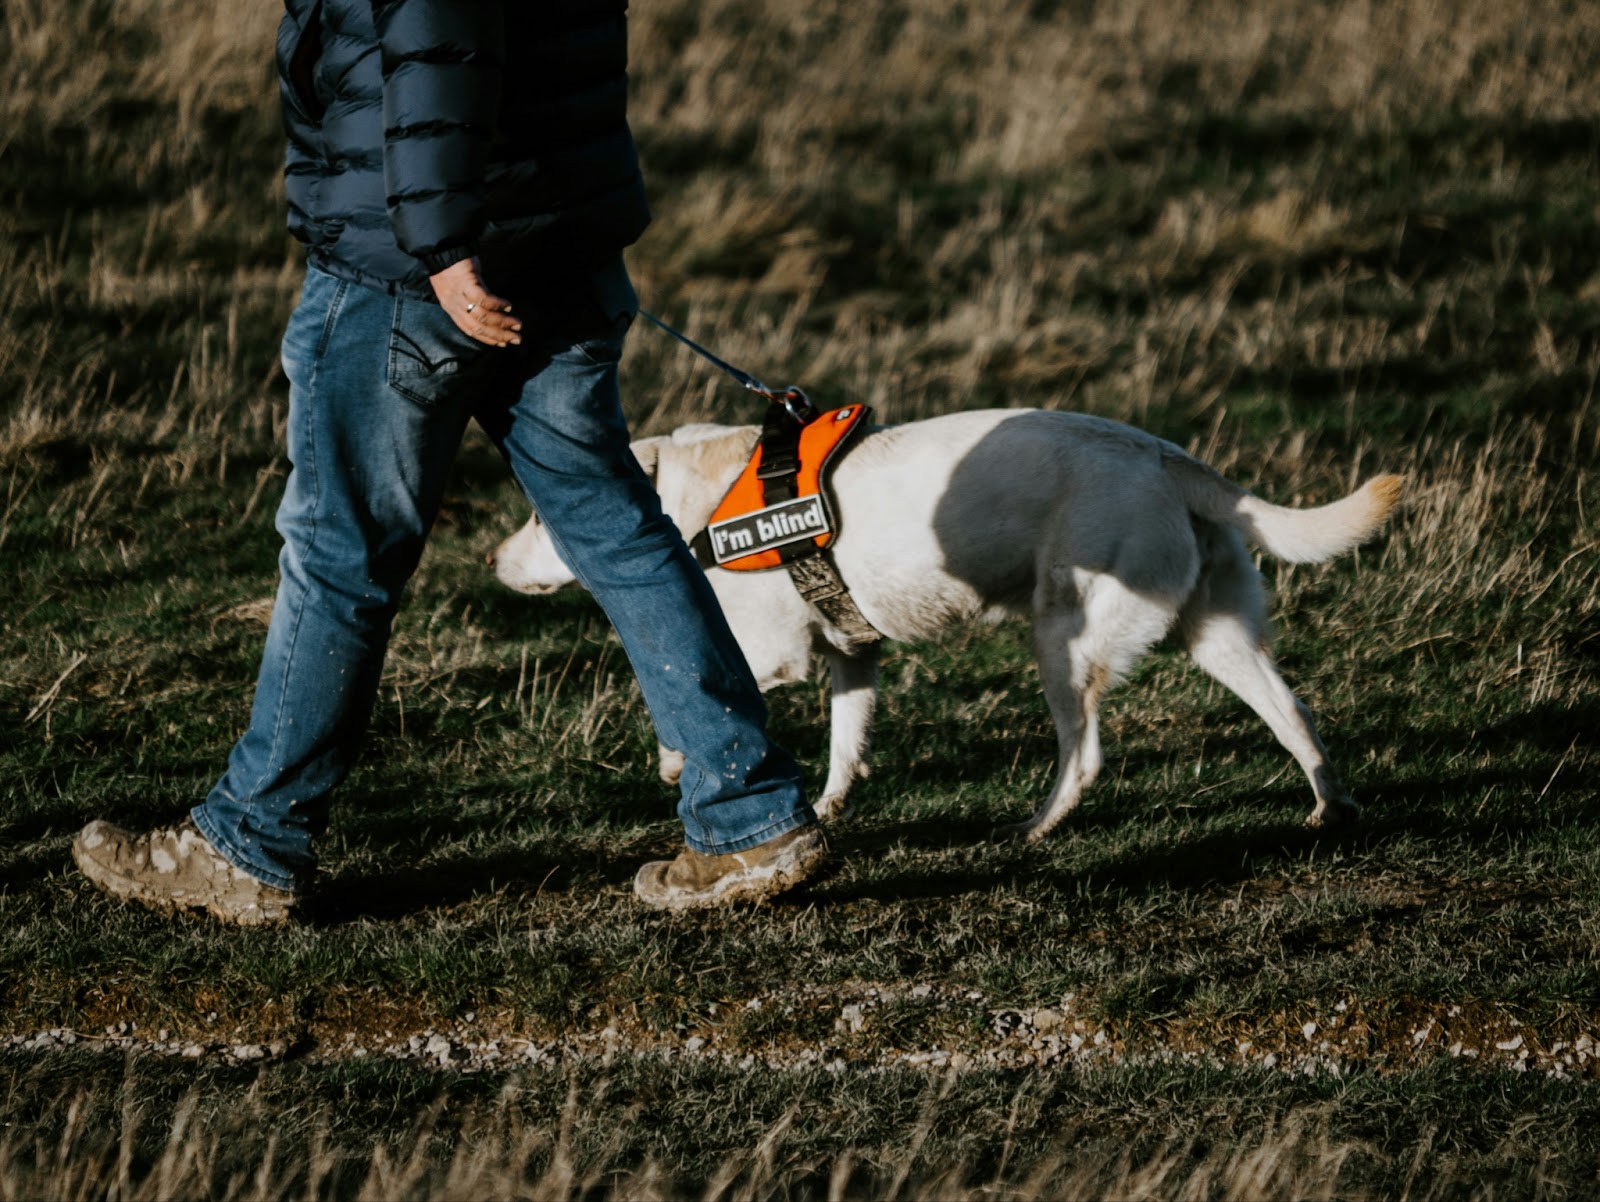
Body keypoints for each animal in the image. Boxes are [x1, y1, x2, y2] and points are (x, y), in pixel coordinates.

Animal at [486, 409, 1401, 838]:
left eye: (538, 516)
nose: (492, 561)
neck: (689, 502)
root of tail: (1168, 457)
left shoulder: (768, 652)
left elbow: (685, 696)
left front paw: (678, 762)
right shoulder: (852, 655)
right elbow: (845, 745)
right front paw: (827, 807)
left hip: (1064, 639)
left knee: (1084, 754)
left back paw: (1036, 826)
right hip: (1217, 635)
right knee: (1295, 714)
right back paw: (1330, 807)